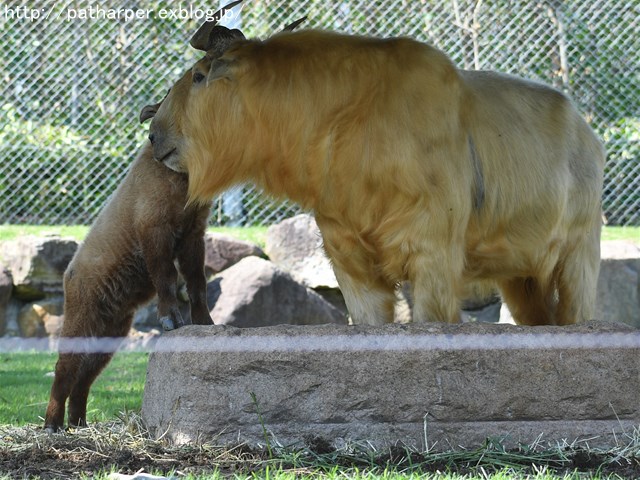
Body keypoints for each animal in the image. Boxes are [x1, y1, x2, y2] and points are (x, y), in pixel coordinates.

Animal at [43, 141, 212, 434]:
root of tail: (68, 274)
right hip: (81, 319)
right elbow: (166, 276)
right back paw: (52, 425)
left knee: (84, 378)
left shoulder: (194, 231)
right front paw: (171, 320)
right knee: (64, 367)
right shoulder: (154, 228)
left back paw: (79, 424)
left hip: (111, 333)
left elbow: (197, 281)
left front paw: (206, 323)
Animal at [150, 26, 604, 326]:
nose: (154, 134)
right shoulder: (351, 263)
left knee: (576, 311)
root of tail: (588, 134)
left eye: (199, 76)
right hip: (520, 275)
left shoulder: (434, 256)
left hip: (579, 254)